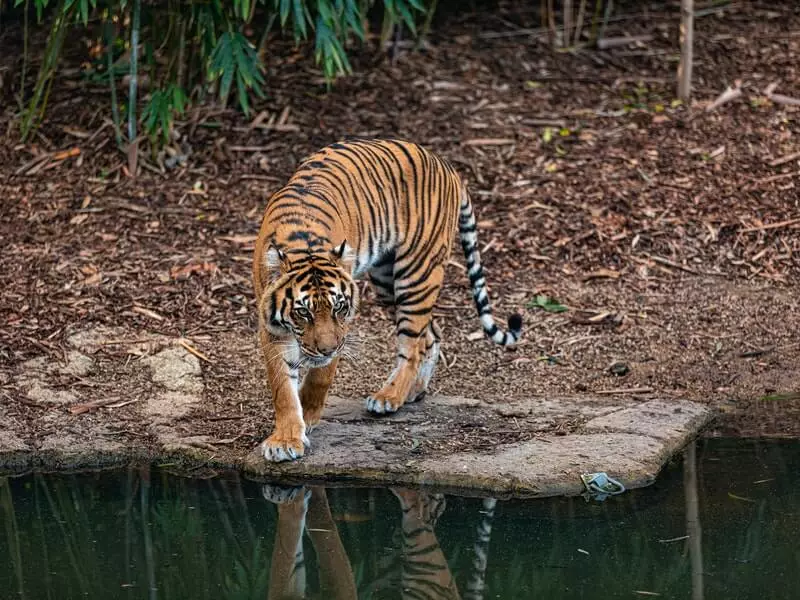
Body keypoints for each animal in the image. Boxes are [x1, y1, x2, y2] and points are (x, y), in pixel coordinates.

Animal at [253, 138, 520, 462]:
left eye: (338, 307)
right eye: (303, 312)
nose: (327, 348)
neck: (304, 245)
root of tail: (446, 165)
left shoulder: (343, 326)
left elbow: (320, 376)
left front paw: (308, 414)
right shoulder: (271, 328)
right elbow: (282, 388)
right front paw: (286, 438)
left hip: (416, 273)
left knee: (413, 344)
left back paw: (389, 396)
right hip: (385, 279)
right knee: (431, 334)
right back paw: (414, 391)